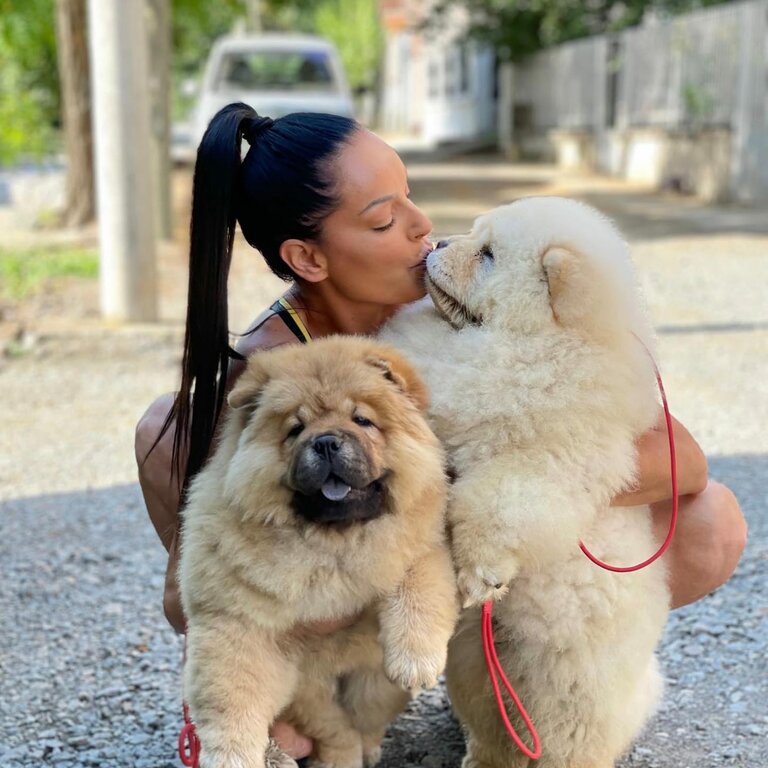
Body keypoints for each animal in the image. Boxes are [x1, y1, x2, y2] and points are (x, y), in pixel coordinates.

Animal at [177, 340, 460, 768]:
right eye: (295, 429)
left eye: (362, 420)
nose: (325, 441)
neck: (333, 541)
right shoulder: (236, 620)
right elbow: (231, 692)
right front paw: (231, 756)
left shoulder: (421, 548)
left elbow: (417, 591)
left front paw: (415, 663)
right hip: (307, 693)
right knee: (335, 732)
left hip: (372, 686)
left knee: (363, 720)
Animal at [384, 198, 672, 768]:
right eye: (474, 236)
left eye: (488, 255)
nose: (438, 244)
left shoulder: (547, 462)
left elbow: (492, 503)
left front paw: (482, 575)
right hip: (477, 664)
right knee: (495, 725)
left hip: (568, 687)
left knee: (564, 741)